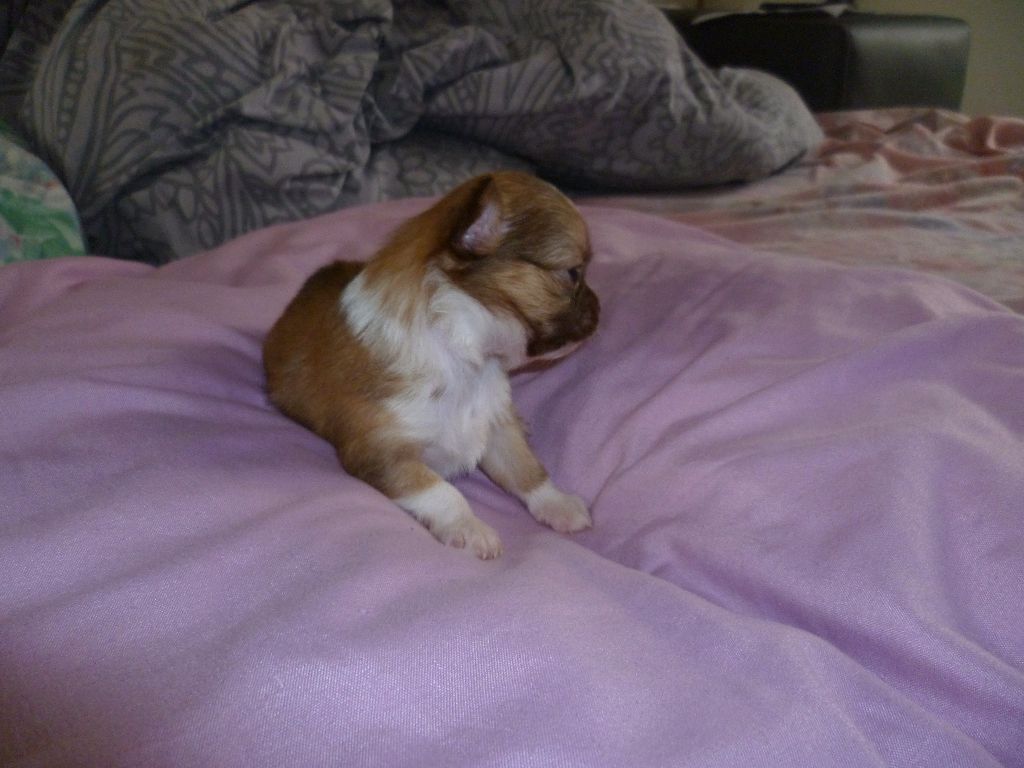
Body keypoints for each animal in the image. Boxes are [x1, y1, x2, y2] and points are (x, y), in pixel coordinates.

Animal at [263, 171, 600, 559]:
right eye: (573, 273)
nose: (600, 307)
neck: (465, 357)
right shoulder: (383, 453)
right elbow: (441, 490)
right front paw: (470, 528)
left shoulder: (495, 425)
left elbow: (526, 468)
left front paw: (558, 504)